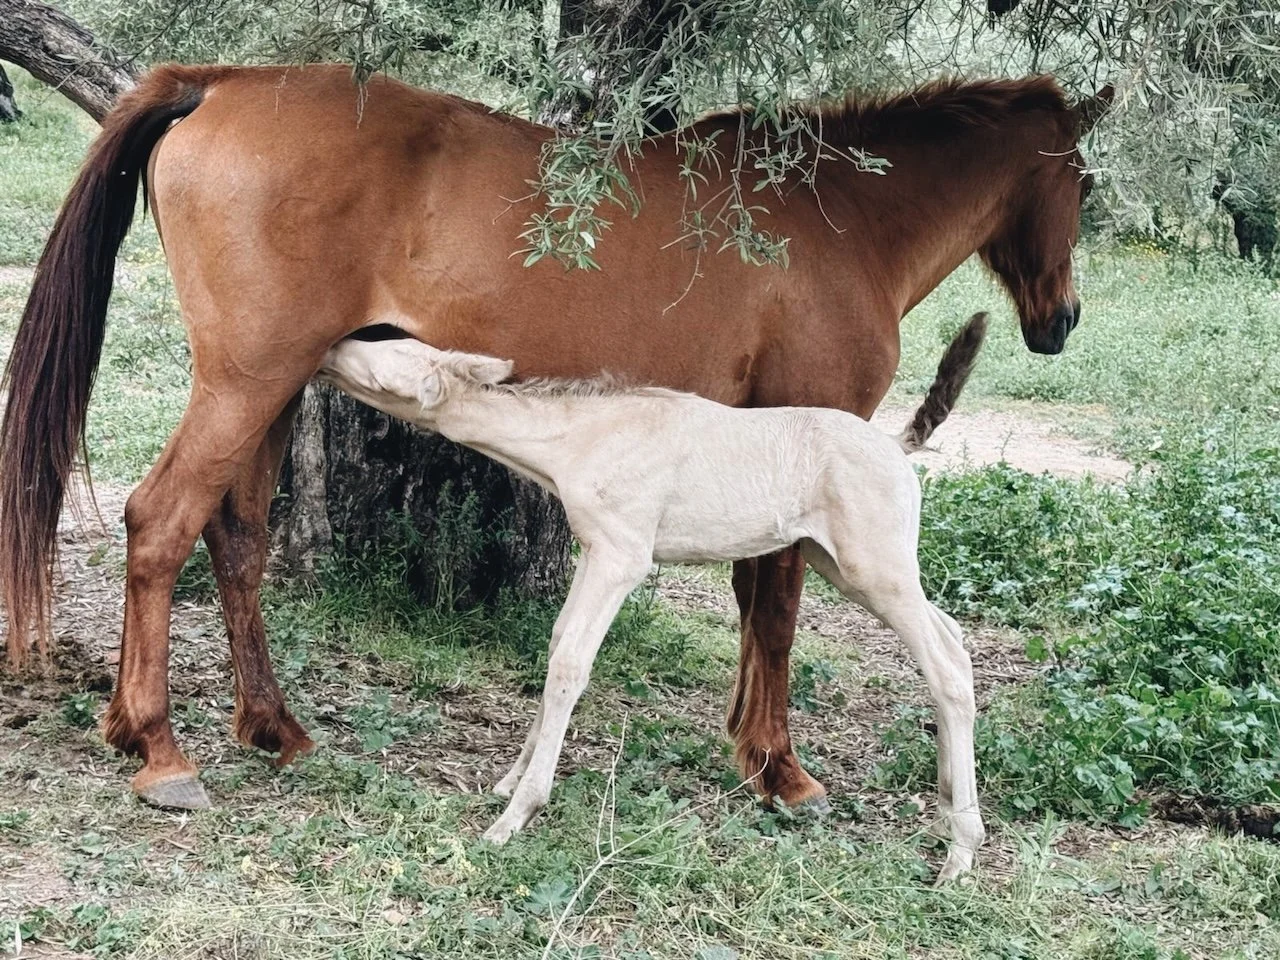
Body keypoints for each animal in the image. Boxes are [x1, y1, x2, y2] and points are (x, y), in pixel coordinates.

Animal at [0, 63, 1110, 810]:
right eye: (1085, 186)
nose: (1061, 321)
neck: (835, 215)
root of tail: (219, 83)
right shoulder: (806, 426)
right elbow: (778, 607)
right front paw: (780, 768)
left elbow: (755, 597)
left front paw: (751, 749)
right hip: (247, 380)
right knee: (160, 523)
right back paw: (159, 750)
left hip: (272, 390)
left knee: (236, 539)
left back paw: (267, 728)